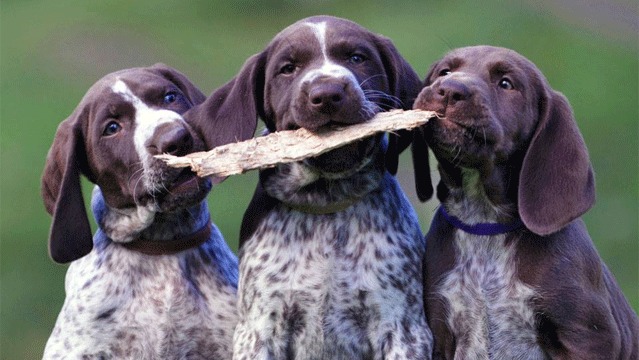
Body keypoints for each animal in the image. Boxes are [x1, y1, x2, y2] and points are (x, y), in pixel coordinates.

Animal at [186, 14, 436, 360]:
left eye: (357, 57)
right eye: (287, 68)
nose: (327, 93)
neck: (326, 201)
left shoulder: (403, 329)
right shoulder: (259, 330)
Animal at [410, 46, 639, 360]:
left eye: (506, 83)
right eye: (444, 72)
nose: (449, 89)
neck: (484, 222)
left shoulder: (588, 336)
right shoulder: (440, 333)